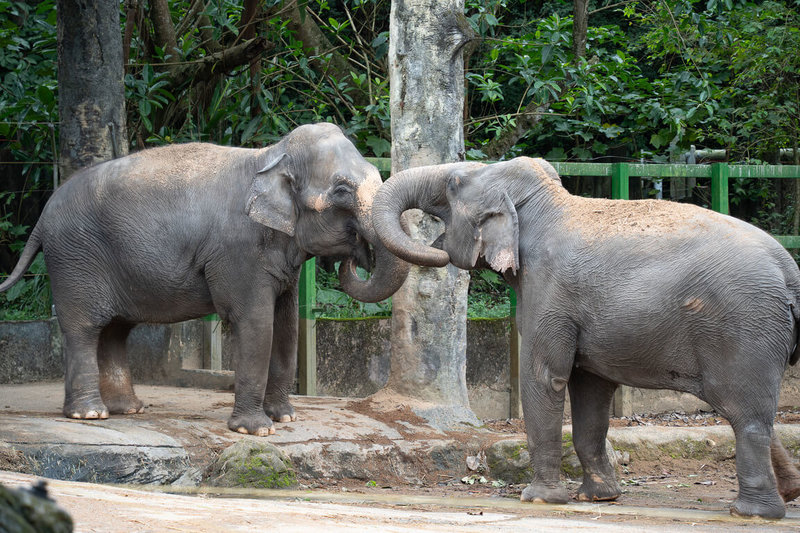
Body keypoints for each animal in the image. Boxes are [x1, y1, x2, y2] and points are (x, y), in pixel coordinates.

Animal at [0, 122, 408, 437]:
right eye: (341, 190)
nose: (357, 256)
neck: (269, 156)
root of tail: (41, 218)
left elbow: (287, 324)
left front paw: (285, 418)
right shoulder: (238, 252)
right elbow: (256, 323)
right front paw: (256, 430)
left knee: (115, 330)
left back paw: (128, 409)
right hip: (75, 259)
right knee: (85, 328)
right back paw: (90, 415)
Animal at [371, 156, 800, 519]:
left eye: (454, 183)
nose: (436, 253)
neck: (546, 203)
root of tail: (788, 269)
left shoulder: (549, 292)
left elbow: (544, 377)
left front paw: (539, 498)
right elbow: (591, 390)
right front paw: (599, 497)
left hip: (744, 327)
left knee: (743, 412)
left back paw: (752, 513)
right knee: (745, 410)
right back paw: (787, 493)